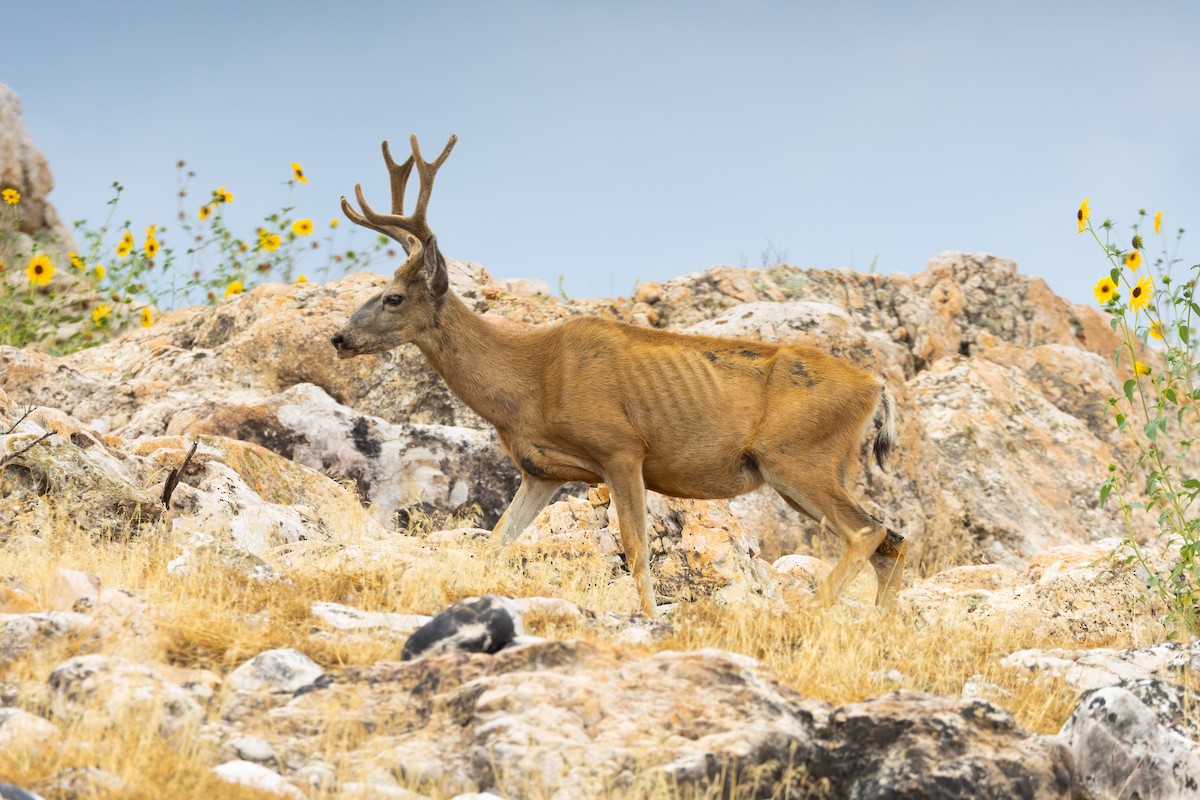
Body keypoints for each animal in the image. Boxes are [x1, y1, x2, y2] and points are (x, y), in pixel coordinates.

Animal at [330, 135, 907, 619]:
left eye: (392, 297)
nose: (338, 338)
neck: (530, 381)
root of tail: (876, 388)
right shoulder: (541, 470)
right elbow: (496, 543)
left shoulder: (622, 448)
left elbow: (635, 549)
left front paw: (652, 618)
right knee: (893, 541)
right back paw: (877, 627)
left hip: (796, 455)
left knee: (869, 532)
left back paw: (807, 615)